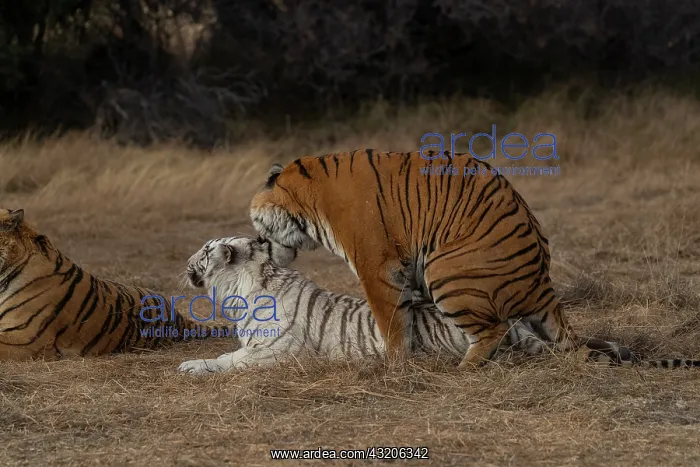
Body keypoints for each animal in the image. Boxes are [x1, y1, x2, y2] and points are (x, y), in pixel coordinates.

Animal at [249, 150, 700, 370]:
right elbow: (409, 320)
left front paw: (391, 367)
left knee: (494, 330)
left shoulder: (377, 266)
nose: (257, 241)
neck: (307, 202)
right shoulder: (405, 273)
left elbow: (391, 323)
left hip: (447, 269)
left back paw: (461, 369)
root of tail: (542, 281)